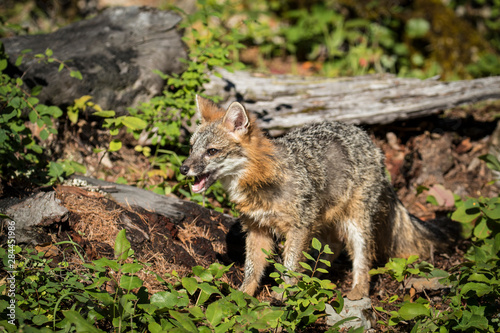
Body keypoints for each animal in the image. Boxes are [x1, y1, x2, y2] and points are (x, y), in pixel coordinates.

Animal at [180, 94, 450, 300]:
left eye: (211, 151)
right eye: (191, 149)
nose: (183, 168)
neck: (261, 179)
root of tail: (365, 135)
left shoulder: (298, 228)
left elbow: (289, 266)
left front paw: (281, 296)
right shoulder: (257, 228)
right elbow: (252, 269)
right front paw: (242, 296)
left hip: (355, 223)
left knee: (363, 257)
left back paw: (357, 291)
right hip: (323, 223)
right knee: (331, 249)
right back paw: (312, 280)